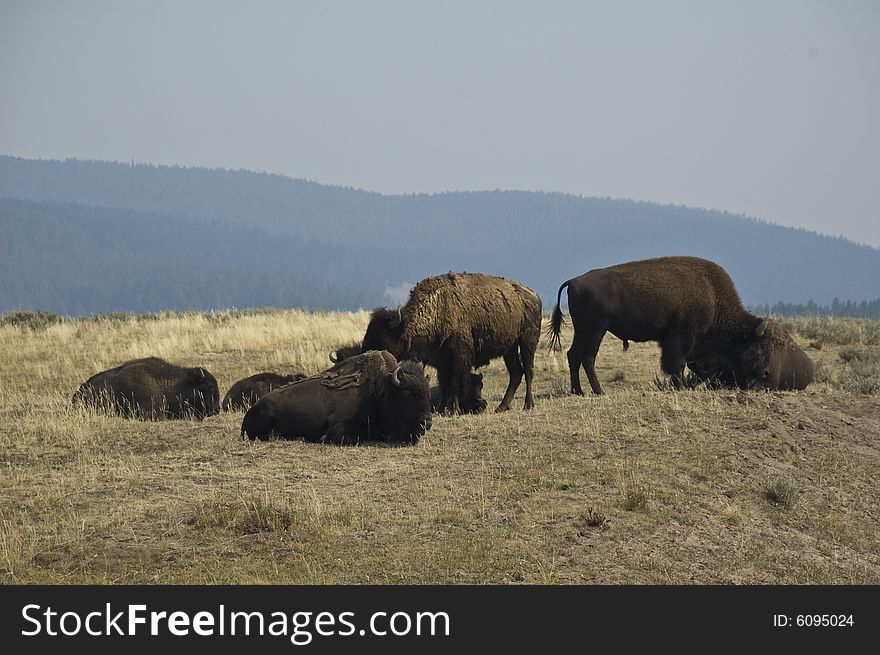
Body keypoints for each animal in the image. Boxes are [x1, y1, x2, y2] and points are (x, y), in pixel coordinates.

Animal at [241, 348, 434, 446]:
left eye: (427, 392)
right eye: (407, 394)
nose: (427, 422)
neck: (382, 390)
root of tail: (252, 409)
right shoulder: (338, 425)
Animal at [358, 272, 544, 416]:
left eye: (383, 335)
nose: (366, 353)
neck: (436, 309)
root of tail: (535, 295)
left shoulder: (459, 357)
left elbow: (454, 383)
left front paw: (453, 410)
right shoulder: (441, 361)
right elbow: (444, 384)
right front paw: (442, 409)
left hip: (527, 342)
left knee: (528, 371)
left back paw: (528, 405)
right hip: (509, 348)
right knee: (516, 373)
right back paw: (501, 407)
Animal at [552, 256, 768, 394]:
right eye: (756, 350)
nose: (765, 373)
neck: (713, 296)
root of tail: (574, 281)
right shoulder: (682, 337)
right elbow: (677, 364)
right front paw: (680, 387)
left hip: (583, 331)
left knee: (573, 355)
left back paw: (578, 391)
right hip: (596, 330)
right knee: (587, 357)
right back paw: (599, 391)